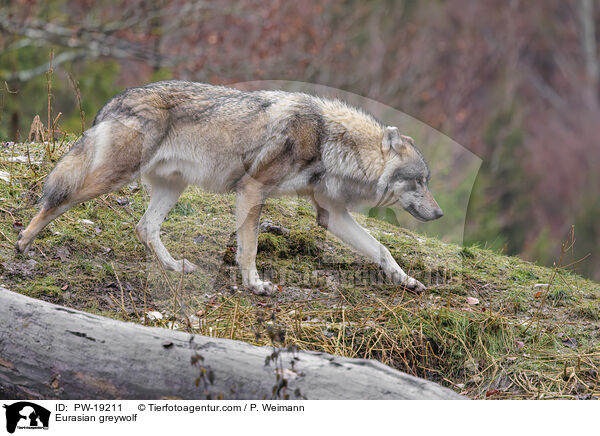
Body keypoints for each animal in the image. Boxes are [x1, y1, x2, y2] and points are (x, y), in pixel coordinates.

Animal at [16, 80, 442, 294]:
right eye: (418, 182)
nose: (438, 213)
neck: (329, 140)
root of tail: (117, 99)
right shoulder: (253, 190)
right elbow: (249, 248)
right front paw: (255, 285)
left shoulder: (331, 214)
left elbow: (382, 250)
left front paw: (408, 281)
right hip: (113, 177)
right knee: (57, 199)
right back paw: (23, 242)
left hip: (172, 188)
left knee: (144, 227)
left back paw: (174, 267)